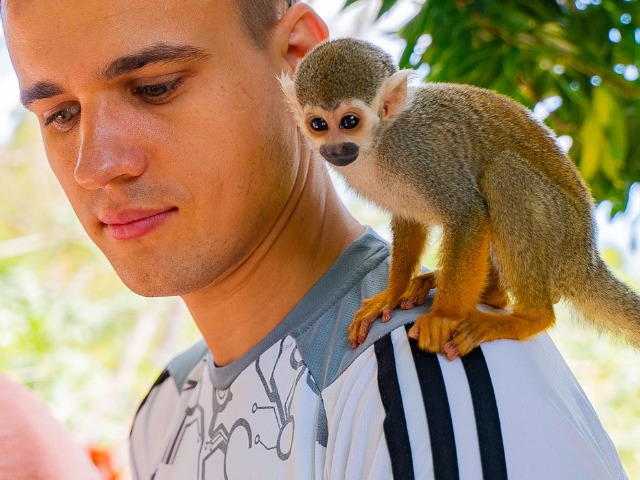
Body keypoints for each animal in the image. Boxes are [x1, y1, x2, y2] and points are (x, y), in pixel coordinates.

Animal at [279, 37, 640, 360]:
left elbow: (467, 215)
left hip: (561, 236)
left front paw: (443, 317)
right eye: (318, 124)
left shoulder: (422, 154)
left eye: (349, 122)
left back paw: (529, 317)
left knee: (504, 174)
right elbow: (409, 219)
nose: (335, 149)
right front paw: (393, 293)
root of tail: (586, 259)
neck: (379, 142)